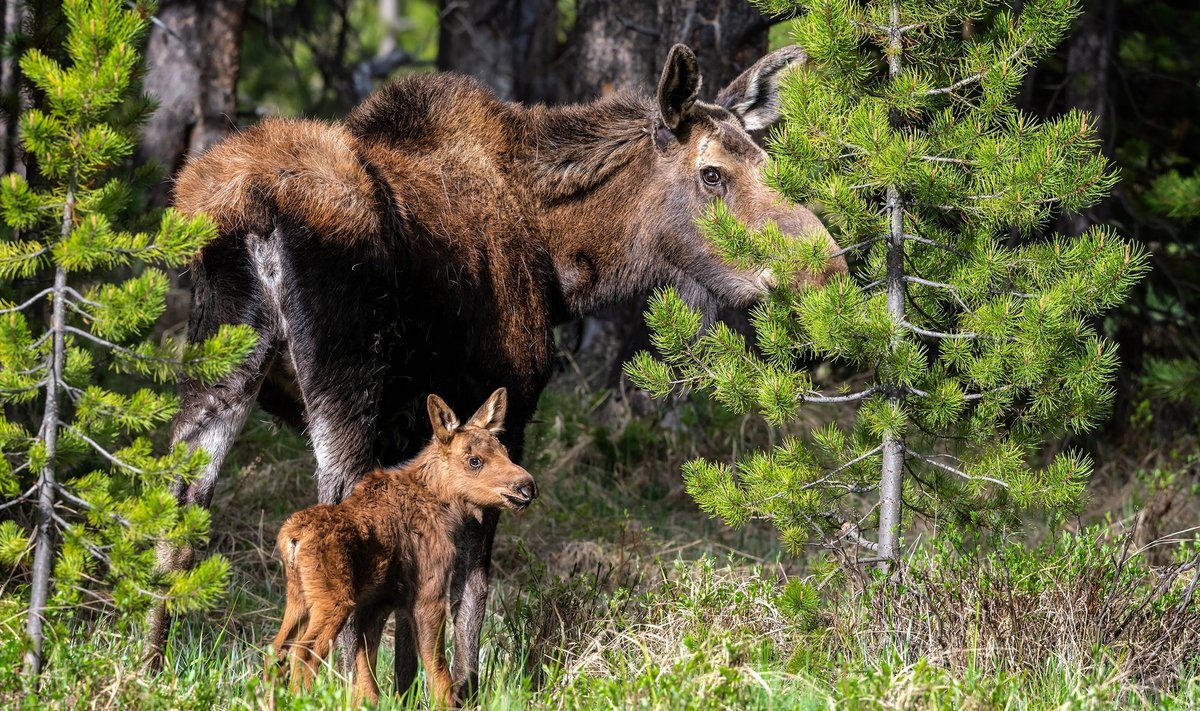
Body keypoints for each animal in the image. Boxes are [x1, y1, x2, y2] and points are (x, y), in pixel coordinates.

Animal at [274, 389, 537, 706]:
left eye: (505, 451)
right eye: (474, 461)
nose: (527, 487)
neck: (445, 507)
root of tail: (292, 538)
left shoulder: (376, 604)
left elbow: (368, 674)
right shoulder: (427, 592)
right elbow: (436, 667)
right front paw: (444, 703)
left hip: (298, 598)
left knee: (277, 649)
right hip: (332, 601)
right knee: (303, 654)